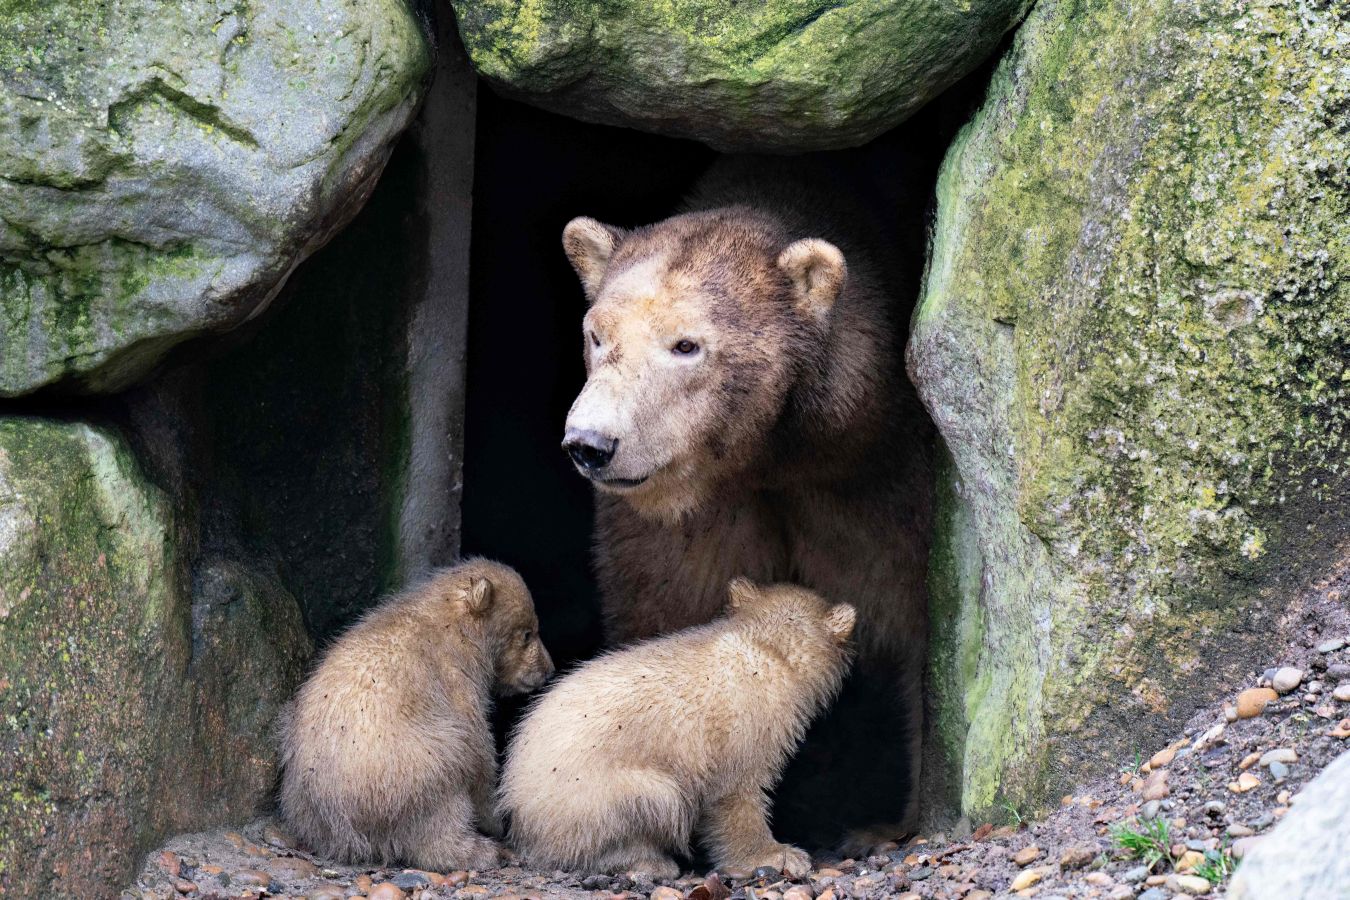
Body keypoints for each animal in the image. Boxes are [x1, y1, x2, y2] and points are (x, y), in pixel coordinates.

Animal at [564, 158, 934, 858]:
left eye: (686, 345)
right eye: (597, 336)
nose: (591, 444)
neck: (776, 456)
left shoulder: (874, 481)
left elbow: (907, 613)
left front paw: (893, 825)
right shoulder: (692, 518)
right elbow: (667, 606)